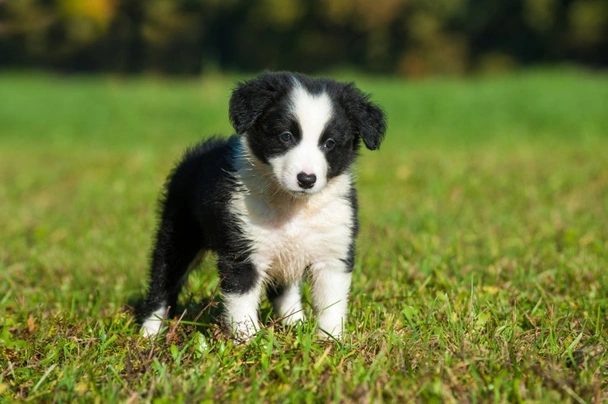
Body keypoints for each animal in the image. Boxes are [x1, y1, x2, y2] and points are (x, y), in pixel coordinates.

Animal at [139, 71, 384, 340]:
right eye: (286, 136)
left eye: (329, 143)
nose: (306, 179)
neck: (293, 205)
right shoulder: (243, 251)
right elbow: (241, 300)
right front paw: (248, 340)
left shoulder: (333, 249)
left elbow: (331, 303)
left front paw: (331, 340)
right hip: (179, 232)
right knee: (163, 279)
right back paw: (149, 332)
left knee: (284, 290)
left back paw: (294, 323)